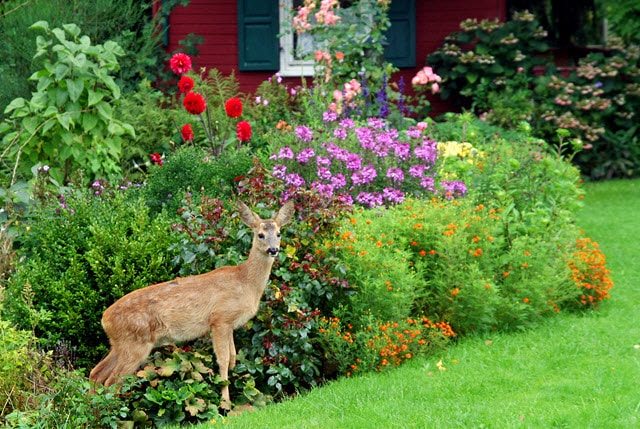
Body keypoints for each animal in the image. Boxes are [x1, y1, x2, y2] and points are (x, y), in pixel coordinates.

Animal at [90, 199, 296, 406]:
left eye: (279, 233)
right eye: (260, 234)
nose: (273, 250)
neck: (245, 282)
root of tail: (105, 319)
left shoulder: (229, 325)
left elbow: (233, 358)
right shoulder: (220, 319)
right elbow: (223, 360)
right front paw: (225, 403)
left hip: (120, 343)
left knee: (96, 373)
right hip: (135, 343)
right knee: (112, 381)